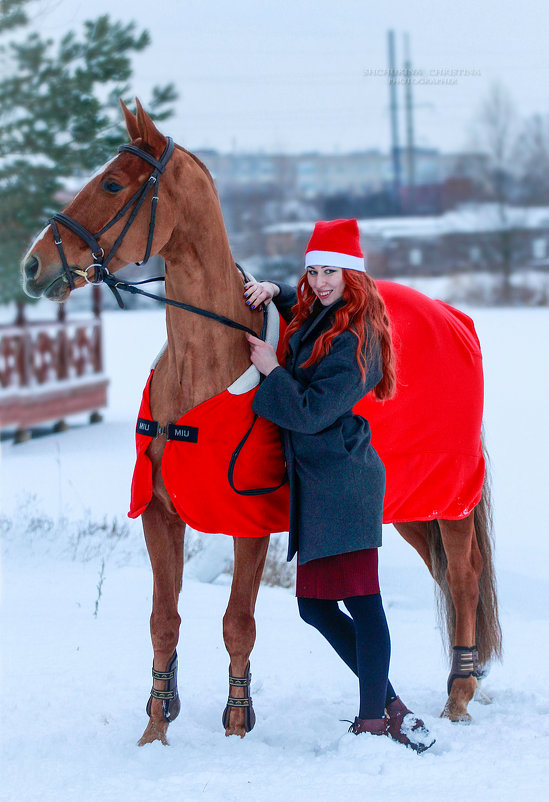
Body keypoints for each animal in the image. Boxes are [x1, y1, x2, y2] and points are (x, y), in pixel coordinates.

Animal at [22, 101, 500, 744]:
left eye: (113, 184)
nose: (33, 265)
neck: (204, 365)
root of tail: (455, 319)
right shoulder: (159, 516)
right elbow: (163, 620)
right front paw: (156, 729)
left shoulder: (249, 525)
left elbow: (237, 622)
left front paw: (237, 726)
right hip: (408, 508)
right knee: (443, 577)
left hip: (449, 498)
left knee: (465, 575)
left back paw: (459, 695)